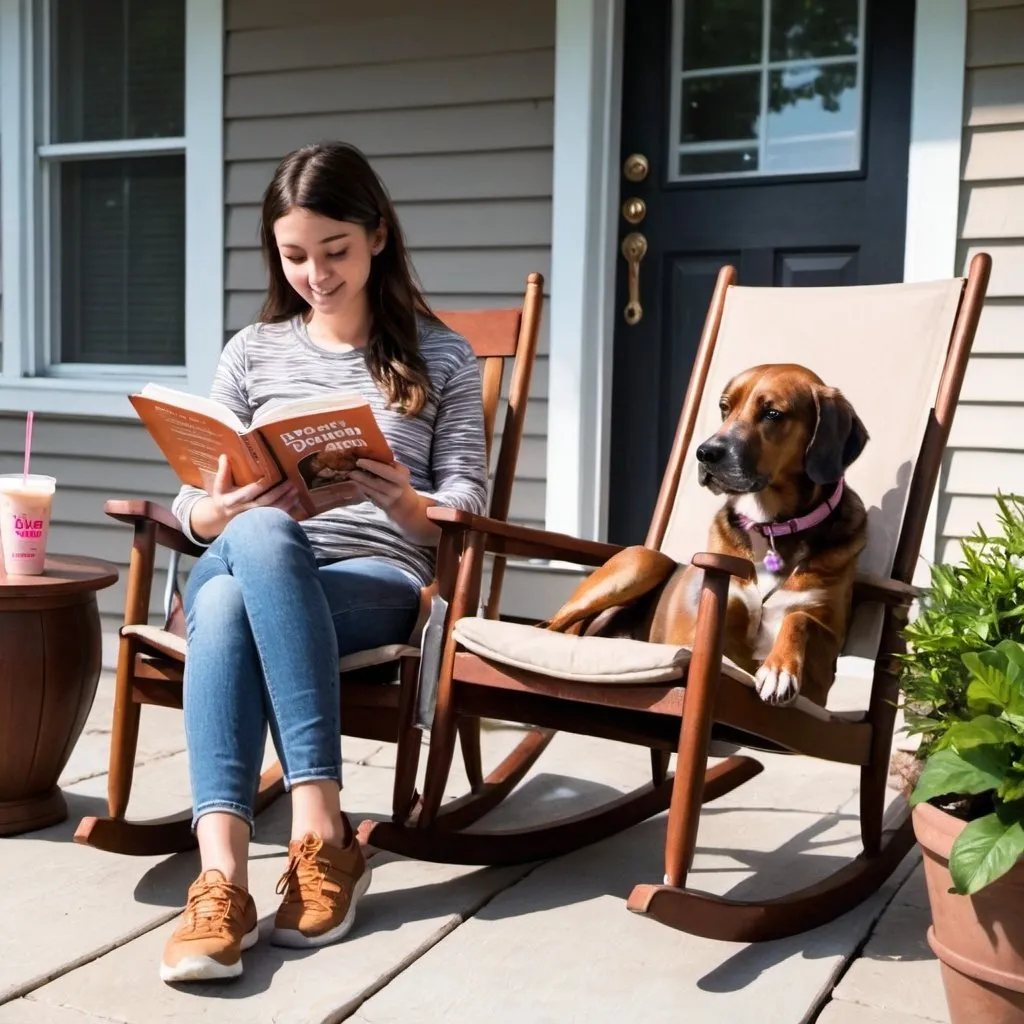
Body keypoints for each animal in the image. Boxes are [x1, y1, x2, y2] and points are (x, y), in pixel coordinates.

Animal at [548, 364, 868, 708]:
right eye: (724, 408)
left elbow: (799, 619)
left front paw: (779, 669)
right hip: (642, 562)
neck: (773, 527)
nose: (704, 453)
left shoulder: (824, 663)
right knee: (552, 626)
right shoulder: (709, 621)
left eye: (772, 413)